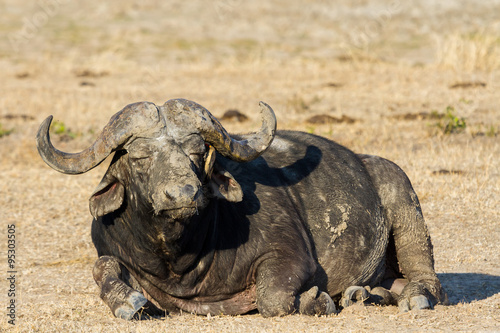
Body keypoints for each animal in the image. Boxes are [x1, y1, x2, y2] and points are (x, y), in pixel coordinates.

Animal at [37, 99, 448, 320]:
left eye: (197, 152)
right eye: (139, 156)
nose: (183, 193)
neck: (179, 256)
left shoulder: (290, 255)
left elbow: (273, 298)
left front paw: (316, 299)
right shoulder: (110, 249)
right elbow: (103, 267)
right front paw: (126, 302)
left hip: (402, 191)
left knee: (427, 277)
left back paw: (411, 296)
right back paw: (364, 295)